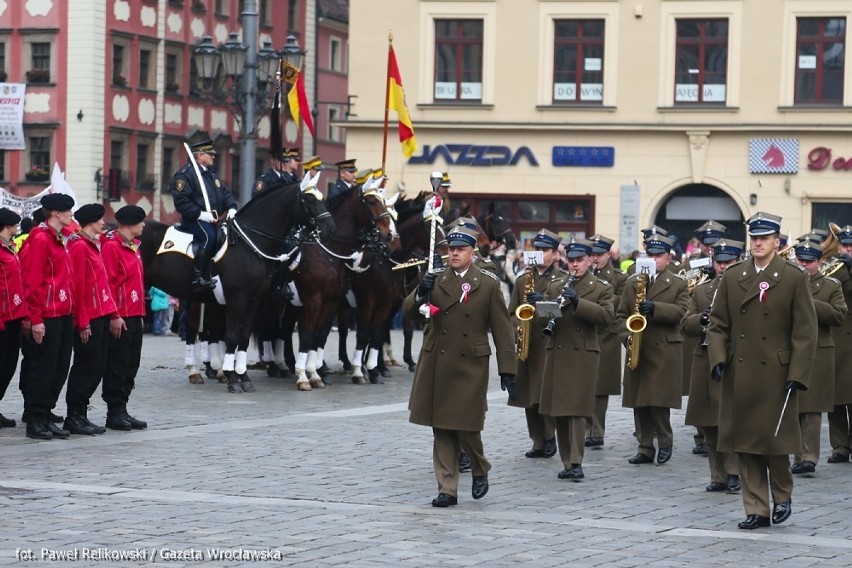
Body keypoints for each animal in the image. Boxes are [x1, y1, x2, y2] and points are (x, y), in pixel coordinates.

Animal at [138, 180, 334, 392]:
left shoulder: (253, 300)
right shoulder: (237, 298)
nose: (330, 228)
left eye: (322, 198)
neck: (249, 244)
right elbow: (232, 336)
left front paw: (243, 377)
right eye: (309, 199)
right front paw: (232, 378)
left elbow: (243, 337)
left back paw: (196, 372)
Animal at [282, 184, 396, 388]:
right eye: (371, 201)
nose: (389, 234)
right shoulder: (359, 300)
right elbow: (310, 334)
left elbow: (321, 335)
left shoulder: (336, 301)